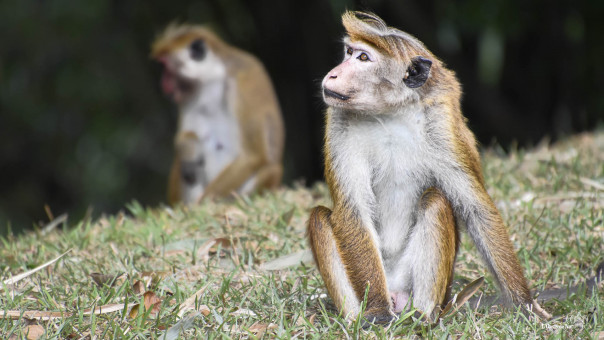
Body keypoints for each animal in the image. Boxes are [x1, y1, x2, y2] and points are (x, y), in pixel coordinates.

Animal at [150, 24, 284, 205]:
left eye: (167, 70)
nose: (163, 83)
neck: (212, 78)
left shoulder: (245, 80)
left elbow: (252, 155)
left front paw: (202, 205)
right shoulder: (189, 97)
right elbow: (185, 138)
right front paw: (188, 146)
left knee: (271, 168)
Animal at [310, 11, 548, 324]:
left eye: (363, 58)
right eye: (348, 53)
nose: (333, 74)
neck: (390, 112)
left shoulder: (442, 123)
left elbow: (475, 209)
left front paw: (525, 304)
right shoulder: (339, 121)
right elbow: (353, 211)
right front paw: (376, 310)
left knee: (435, 200)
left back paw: (422, 317)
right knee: (319, 217)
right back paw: (360, 317)